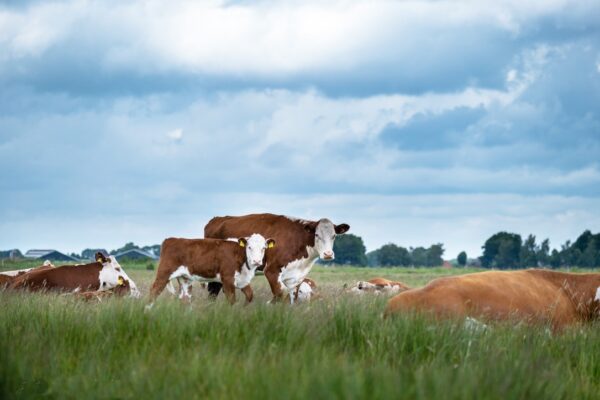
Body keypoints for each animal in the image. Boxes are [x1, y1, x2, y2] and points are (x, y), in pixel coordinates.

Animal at [204, 212, 350, 304]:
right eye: (317, 235)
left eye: (334, 236)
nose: (328, 254)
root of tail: (217, 219)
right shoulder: (272, 271)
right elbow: (280, 293)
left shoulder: (296, 277)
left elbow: (292, 297)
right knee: (213, 290)